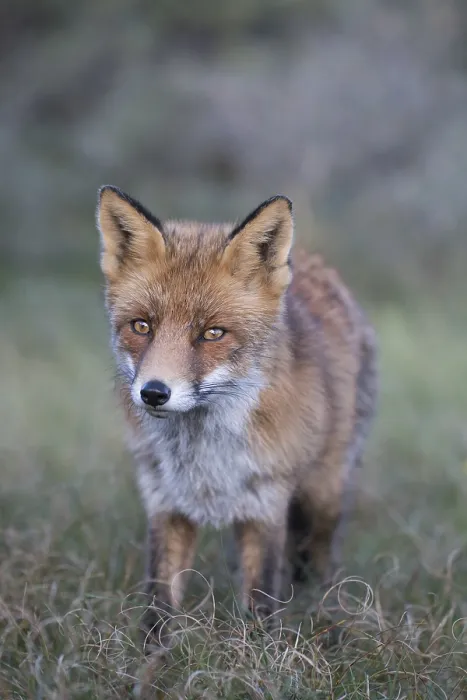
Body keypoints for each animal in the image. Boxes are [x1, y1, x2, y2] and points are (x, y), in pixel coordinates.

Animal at [96, 186, 377, 649]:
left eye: (212, 333)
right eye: (142, 326)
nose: (153, 392)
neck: (205, 458)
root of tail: (313, 261)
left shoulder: (266, 503)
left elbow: (261, 600)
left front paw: (263, 654)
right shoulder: (164, 501)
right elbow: (158, 604)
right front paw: (150, 658)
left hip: (322, 496)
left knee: (319, 562)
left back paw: (328, 617)